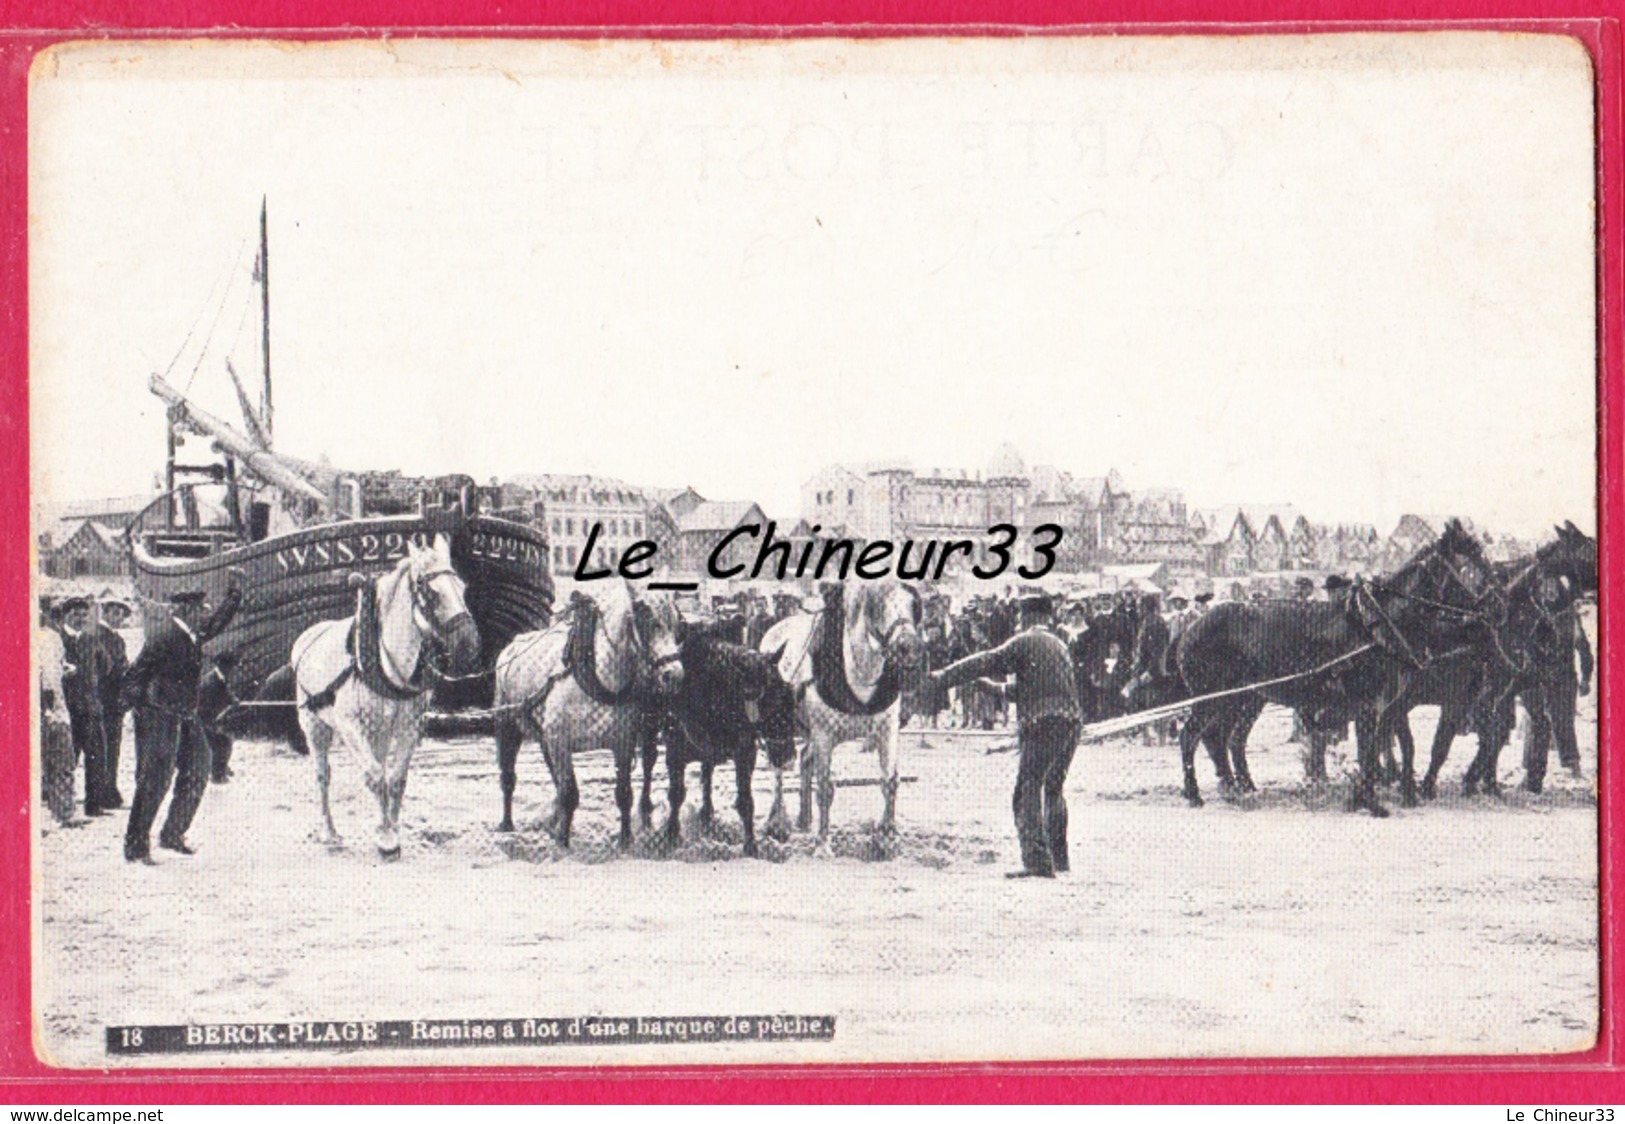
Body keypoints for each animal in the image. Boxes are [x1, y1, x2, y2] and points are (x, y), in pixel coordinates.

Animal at [290, 536, 477, 857]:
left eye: (463, 587)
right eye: (431, 592)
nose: (470, 645)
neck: (385, 663)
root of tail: (308, 636)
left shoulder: (408, 726)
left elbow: (395, 778)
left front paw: (390, 829)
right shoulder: (350, 726)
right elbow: (375, 776)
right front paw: (387, 838)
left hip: (378, 729)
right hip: (314, 725)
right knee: (323, 774)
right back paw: (329, 831)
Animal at [487, 578, 679, 851]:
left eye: (676, 623)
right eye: (647, 619)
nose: (674, 674)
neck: (597, 676)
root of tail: (513, 645)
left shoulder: (623, 742)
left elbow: (623, 793)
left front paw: (625, 839)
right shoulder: (560, 741)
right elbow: (569, 792)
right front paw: (563, 841)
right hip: (507, 725)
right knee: (509, 776)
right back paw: (507, 824)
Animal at [760, 578, 929, 851]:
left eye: (913, 604)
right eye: (878, 605)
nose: (909, 648)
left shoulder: (888, 728)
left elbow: (889, 780)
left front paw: (887, 837)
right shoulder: (824, 733)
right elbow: (825, 786)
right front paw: (822, 843)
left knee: (804, 759)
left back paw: (804, 819)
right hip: (780, 728)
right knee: (778, 768)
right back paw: (777, 823)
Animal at [1170, 516, 1495, 815]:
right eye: (1472, 565)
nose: (1497, 607)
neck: (1378, 625)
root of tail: (1190, 629)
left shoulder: (1385, 706)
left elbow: (1377, 750)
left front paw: (1363, 798)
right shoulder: (1369, 706)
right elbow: (1371, 753)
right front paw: (1372, 802)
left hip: (1240, 699)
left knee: (1221, 739)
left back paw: (1235, 789)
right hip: (1215, 698)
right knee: (1193, 736)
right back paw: (1196, 793)